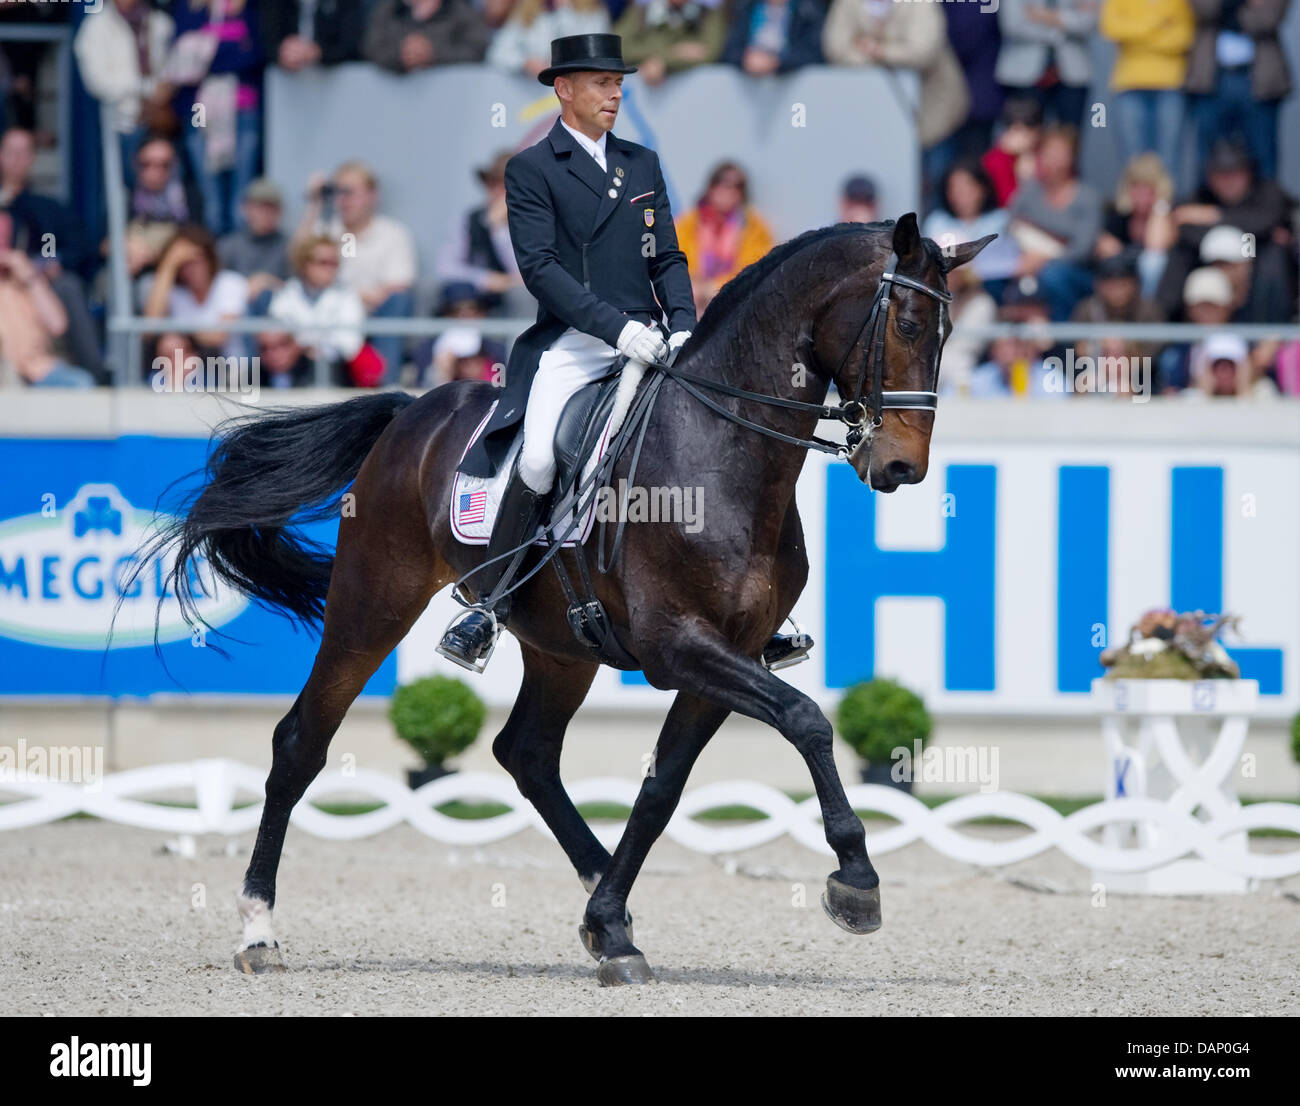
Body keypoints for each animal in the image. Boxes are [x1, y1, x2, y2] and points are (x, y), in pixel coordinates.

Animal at [153, 213, 992, 985]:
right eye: (907, 323)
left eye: (950, 333)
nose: (902, 468)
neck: (723, 452)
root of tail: (411, 413)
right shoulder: (679, 646)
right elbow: (807, 720)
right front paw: (856, 881)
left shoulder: (727, 657)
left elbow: (662, 789)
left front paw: (609, 924)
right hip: (372, 603)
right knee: (301, 742)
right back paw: (258, 930)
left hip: (561, 647)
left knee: (526, 754)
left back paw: (603, 907)